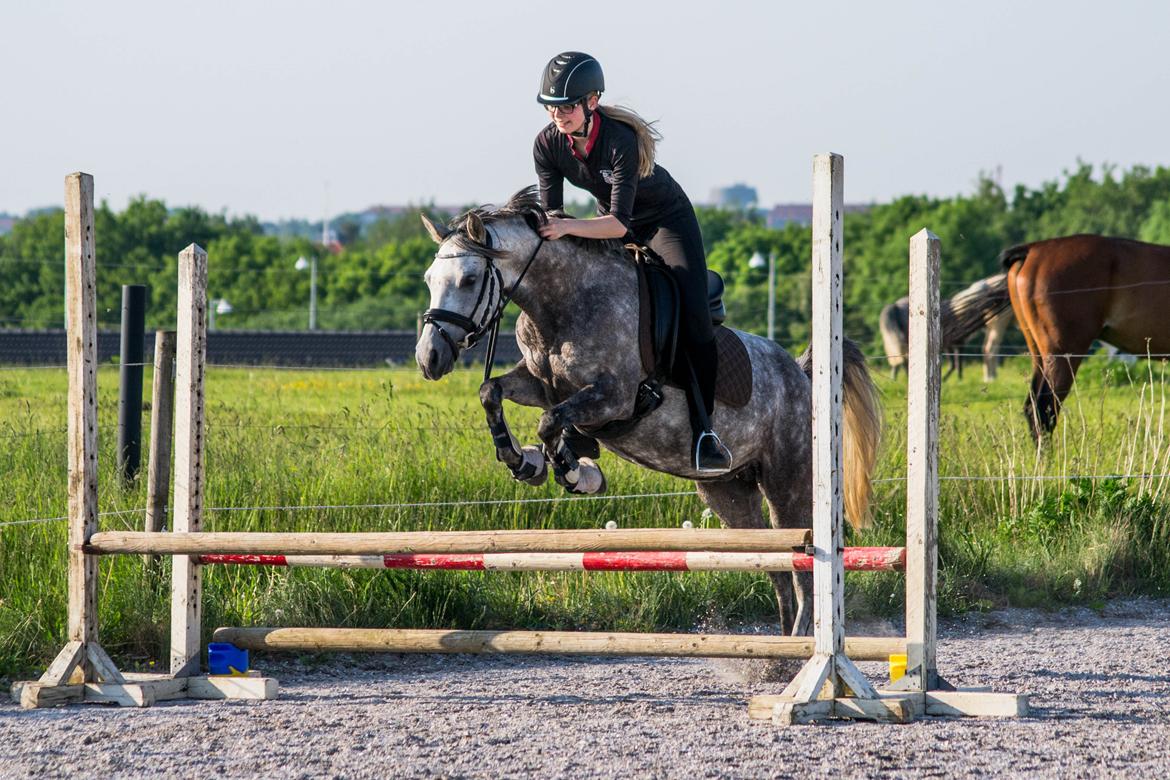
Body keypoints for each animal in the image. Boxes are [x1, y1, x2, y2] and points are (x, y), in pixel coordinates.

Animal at [411, 187, 879, 636]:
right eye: (429, 279)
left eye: (469, 279)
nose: (429, 359)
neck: (563, 302)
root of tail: (801, 375)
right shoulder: (540, 384)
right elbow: (492, 392)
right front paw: (524, 462)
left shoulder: (614, 397)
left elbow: (551, 421)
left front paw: (575, 473)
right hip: (727, 491)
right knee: (775, 569)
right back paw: (778, 655)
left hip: (786, 485)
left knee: (803, 571)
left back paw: (801, 645)